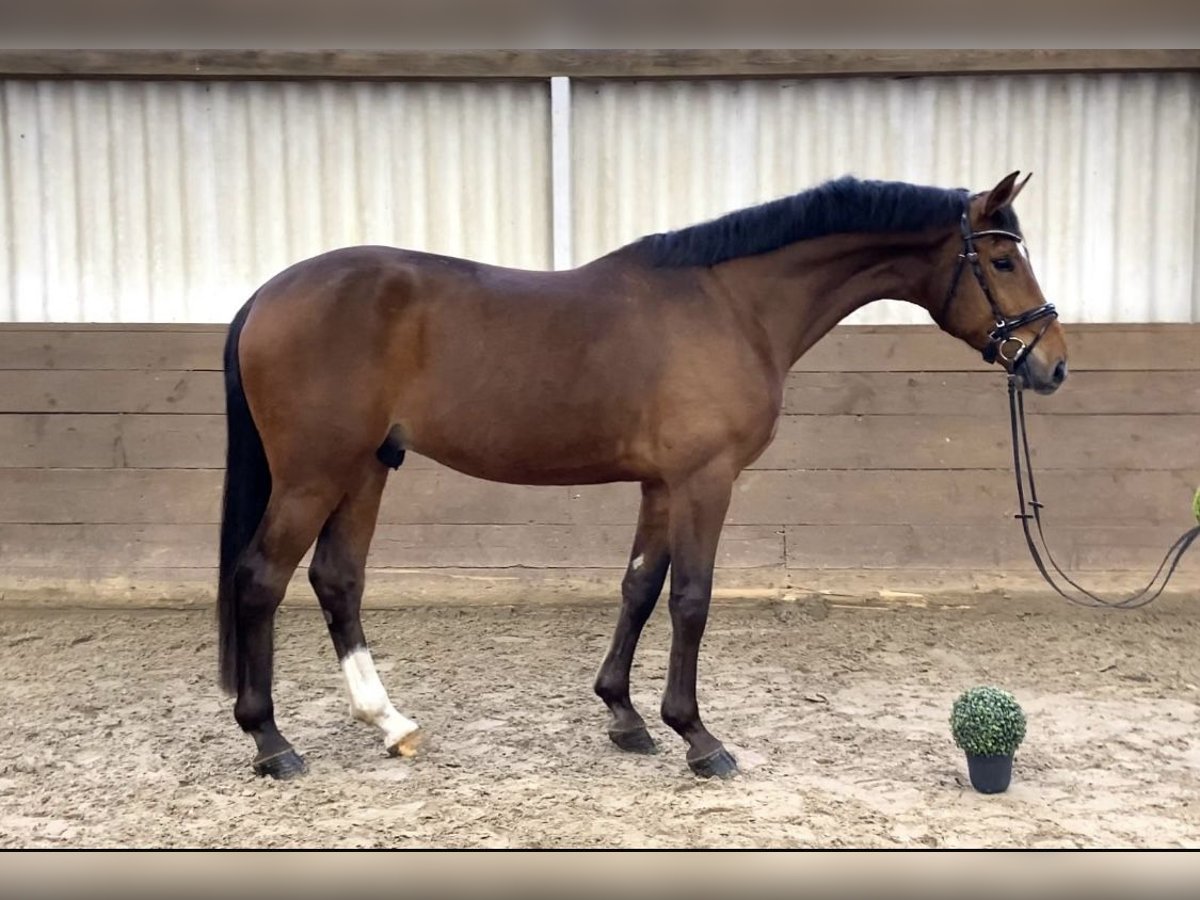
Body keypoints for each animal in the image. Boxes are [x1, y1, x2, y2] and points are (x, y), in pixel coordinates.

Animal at [218, 172, 1070, 777]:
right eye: (1002, 259)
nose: (1052, 364)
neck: (732, 304)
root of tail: (266, 293)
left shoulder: (662, 485)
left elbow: (639, 586)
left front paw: (624, 717)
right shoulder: (706, 480)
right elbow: (691, 597)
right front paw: (698, 737)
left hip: (366, 467)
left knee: (337, 580)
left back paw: (389, 724)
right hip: (314, 472)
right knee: (262, 578)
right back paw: (271, 742)